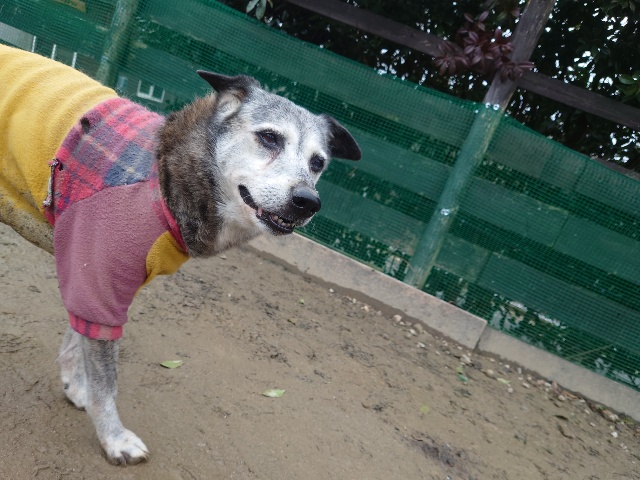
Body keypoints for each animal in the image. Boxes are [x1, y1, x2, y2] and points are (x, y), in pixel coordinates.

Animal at [0, 45, 361, 465]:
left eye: (318, 163)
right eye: (269, 137)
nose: (308, 201)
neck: (165, 176)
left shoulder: (89, 278)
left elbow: (77, 339)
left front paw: (77, 388)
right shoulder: (100, 286)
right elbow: (107, 381)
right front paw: (114, 438)